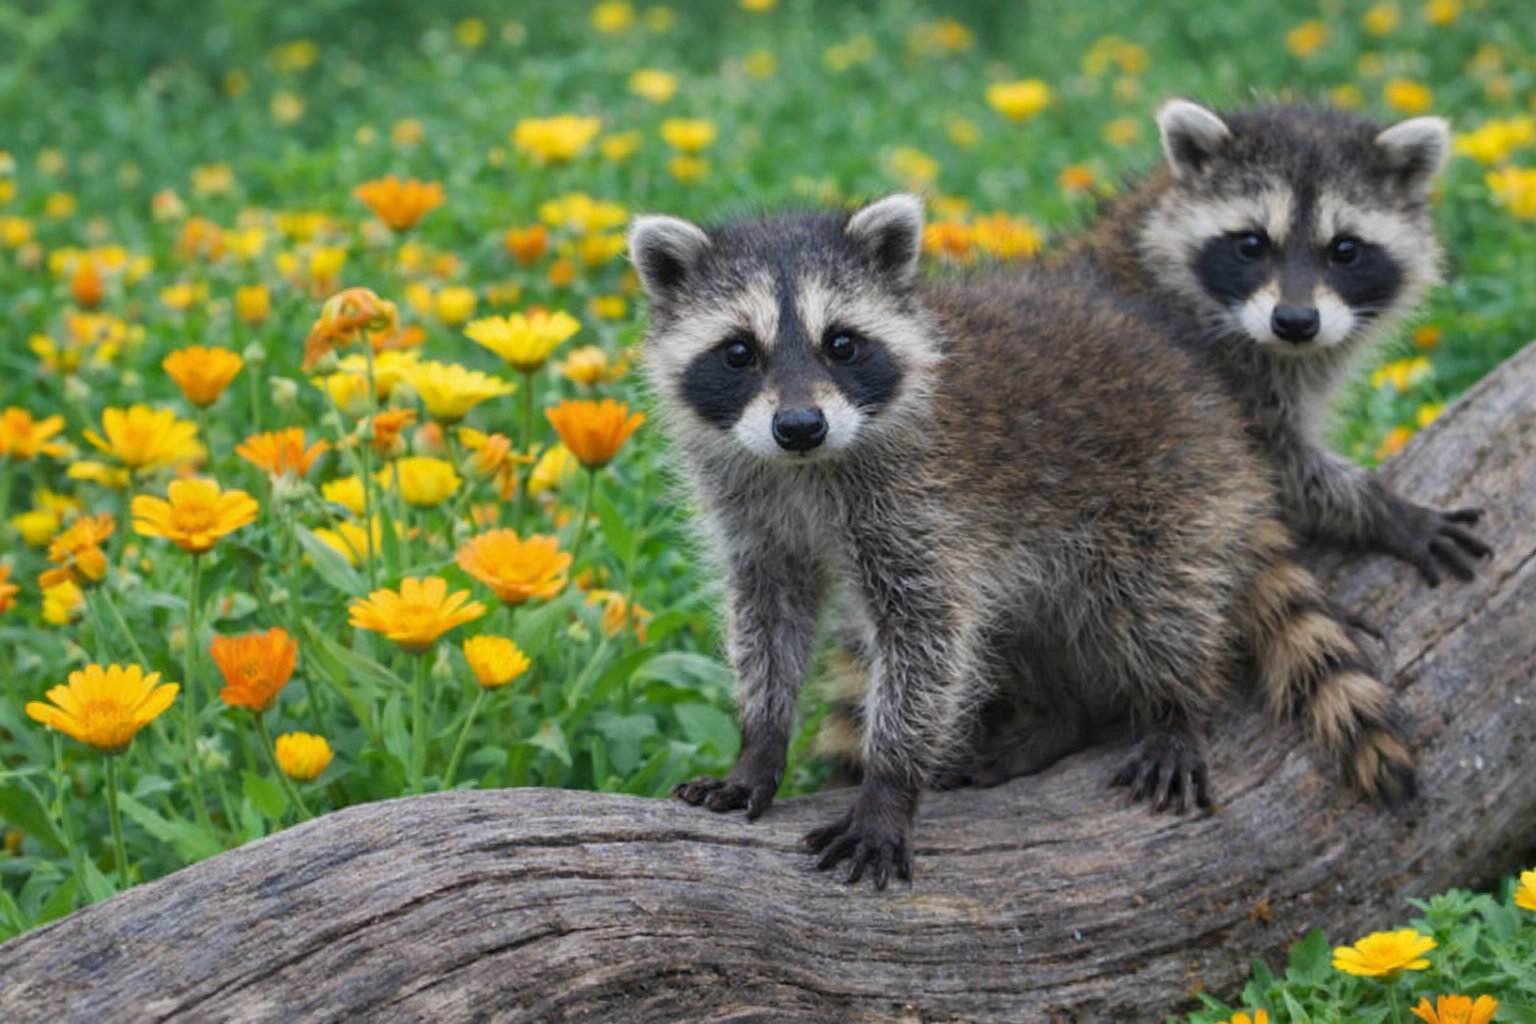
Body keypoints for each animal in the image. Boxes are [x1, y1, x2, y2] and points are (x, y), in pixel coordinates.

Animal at [629, 195, 1415, 889]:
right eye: (739, 352)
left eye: (842, 344)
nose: (799, 426)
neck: (804, 468)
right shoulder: (754, 508)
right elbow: (769, 616)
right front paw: (760, 742)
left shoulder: (921, 506)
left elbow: (928, 641)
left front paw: (889, 783)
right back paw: (1059, 718)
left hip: (1163, 491)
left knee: (1160, 606)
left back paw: (1174, 705)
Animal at [1061, 99, 1490, 585]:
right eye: (1252, 243)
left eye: (1345, 250)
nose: (1296, 322)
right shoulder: (1218, 381)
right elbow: (1272, 470)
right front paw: (1377, 505)